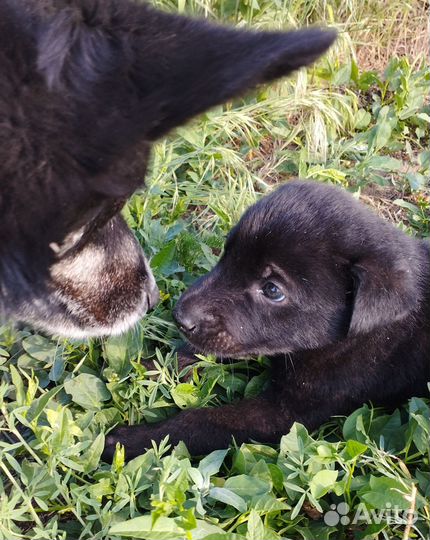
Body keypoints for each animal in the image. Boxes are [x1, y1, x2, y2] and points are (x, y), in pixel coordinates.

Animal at [104, 181, 430, 460]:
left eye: (273, 290)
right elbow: (195, 352)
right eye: (226, 255)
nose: (180, 317)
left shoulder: (286, 413)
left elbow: (202, 421)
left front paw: (129, 441)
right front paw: (145, 368)